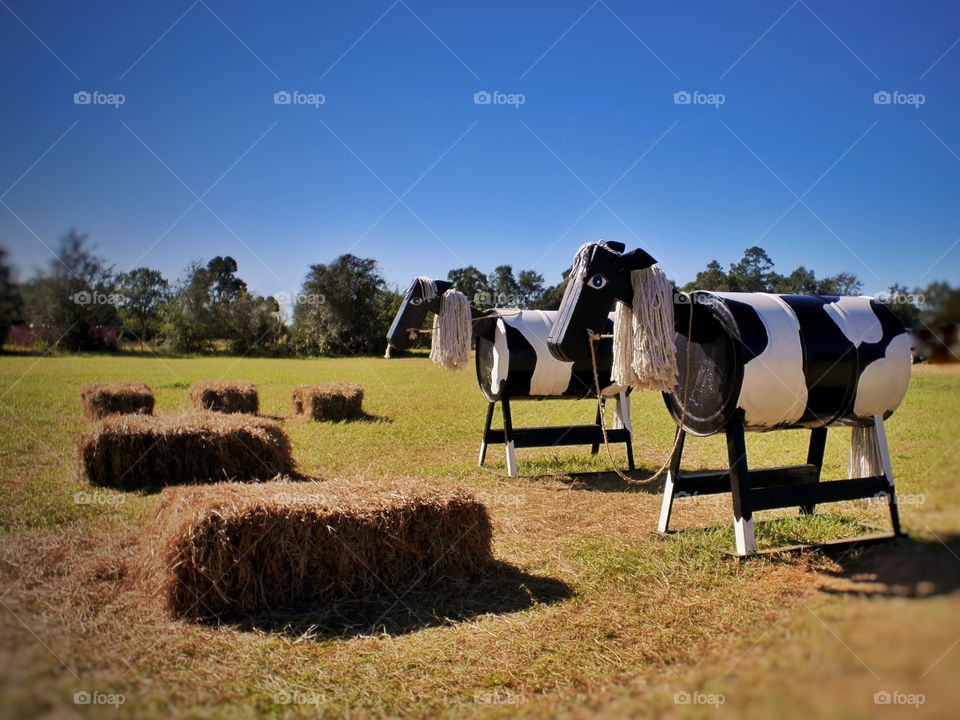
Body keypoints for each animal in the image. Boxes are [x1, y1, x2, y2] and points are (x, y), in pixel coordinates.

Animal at [386, 272, 632, 476]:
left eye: (416, 301)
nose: (391, 338)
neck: (489, 329)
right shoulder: (495, 393)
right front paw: (482, 462)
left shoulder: (503, 393)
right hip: (603, 390)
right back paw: (596, 453)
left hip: (619, 390)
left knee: (626, 430)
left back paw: (630, 465)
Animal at [548, 242, 916, 556]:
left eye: (597, 280)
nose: (556, 343)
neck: (700, 327)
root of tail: (889, 313)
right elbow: (675, 481)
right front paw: (665, 527)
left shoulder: (736, 416)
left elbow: (743, 499)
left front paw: (746, 549)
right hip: (823, 414)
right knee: (815, 456)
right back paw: (808, 511)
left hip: (875, 413)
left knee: (883, 479)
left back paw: (894, 529)